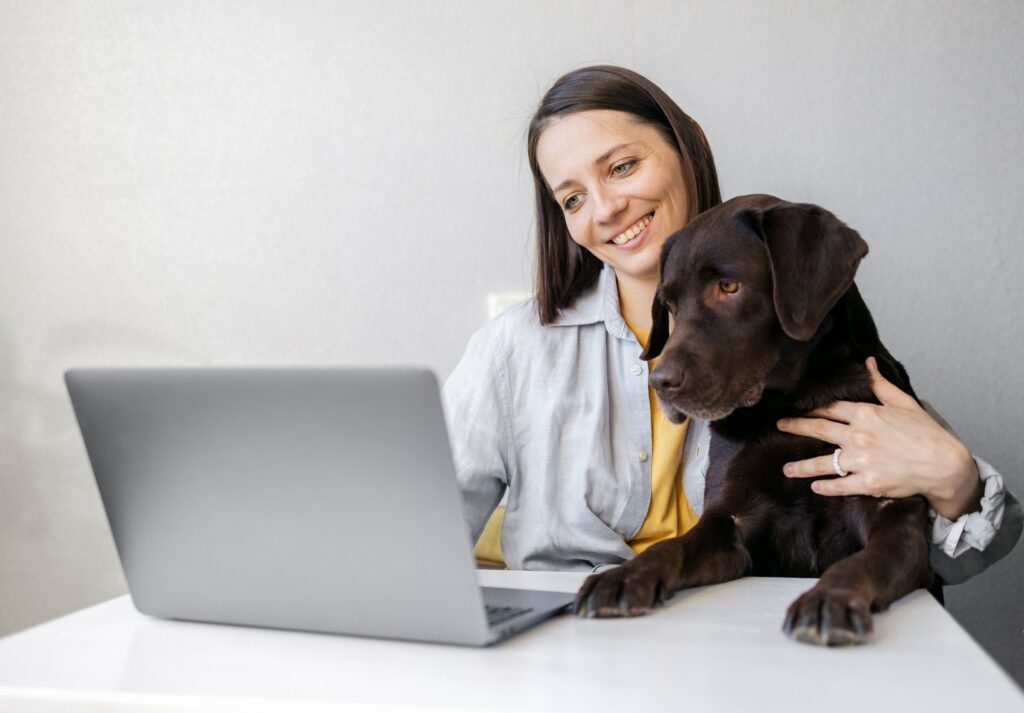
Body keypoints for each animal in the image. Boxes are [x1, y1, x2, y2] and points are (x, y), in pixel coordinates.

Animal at [577, 190, 937, 647]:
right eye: (669, 305)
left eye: (729, 286)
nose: (661, 383)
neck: (790, 404)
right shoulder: (730, 519)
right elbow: (671, 547)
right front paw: (624, 576)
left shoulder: (893, 509)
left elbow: (860, 562)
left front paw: (828, 599)